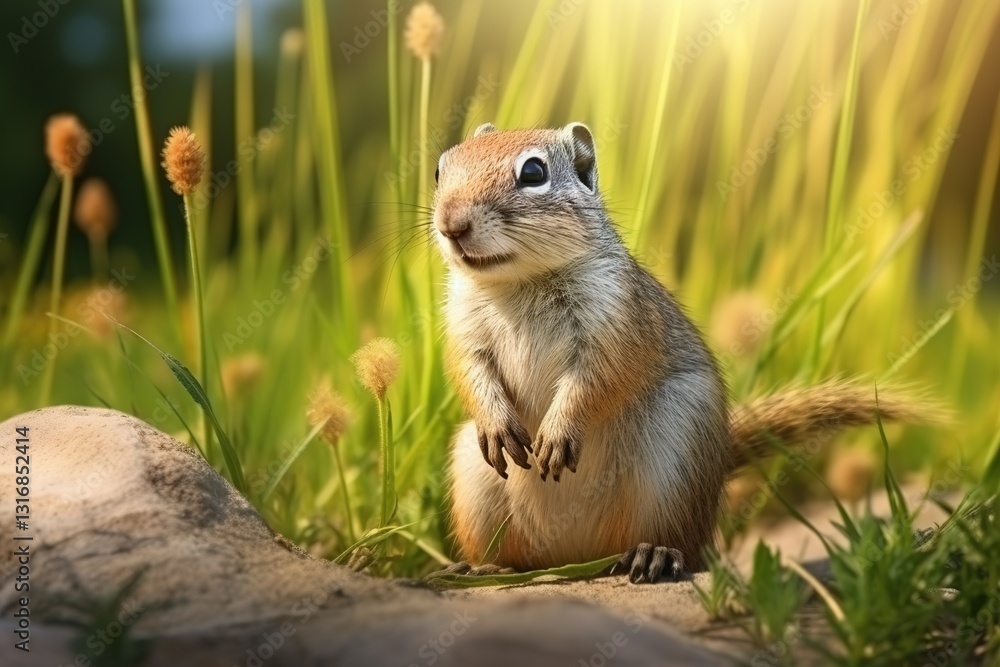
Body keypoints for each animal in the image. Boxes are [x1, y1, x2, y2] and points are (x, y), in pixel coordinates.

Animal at [432, 122, 925, 583]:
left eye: (533, 172)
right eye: (441, 168)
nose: (451, 224)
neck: (518, 282)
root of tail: (576, 559)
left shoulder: (616, 325)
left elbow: (594, 382)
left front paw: (557, 431)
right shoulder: (463, 330)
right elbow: (469, 372)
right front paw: (497, 423)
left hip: (675, 457)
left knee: (681, 544)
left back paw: (653, 554)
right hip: (472, 472)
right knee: (516, 557)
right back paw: (482, 568)